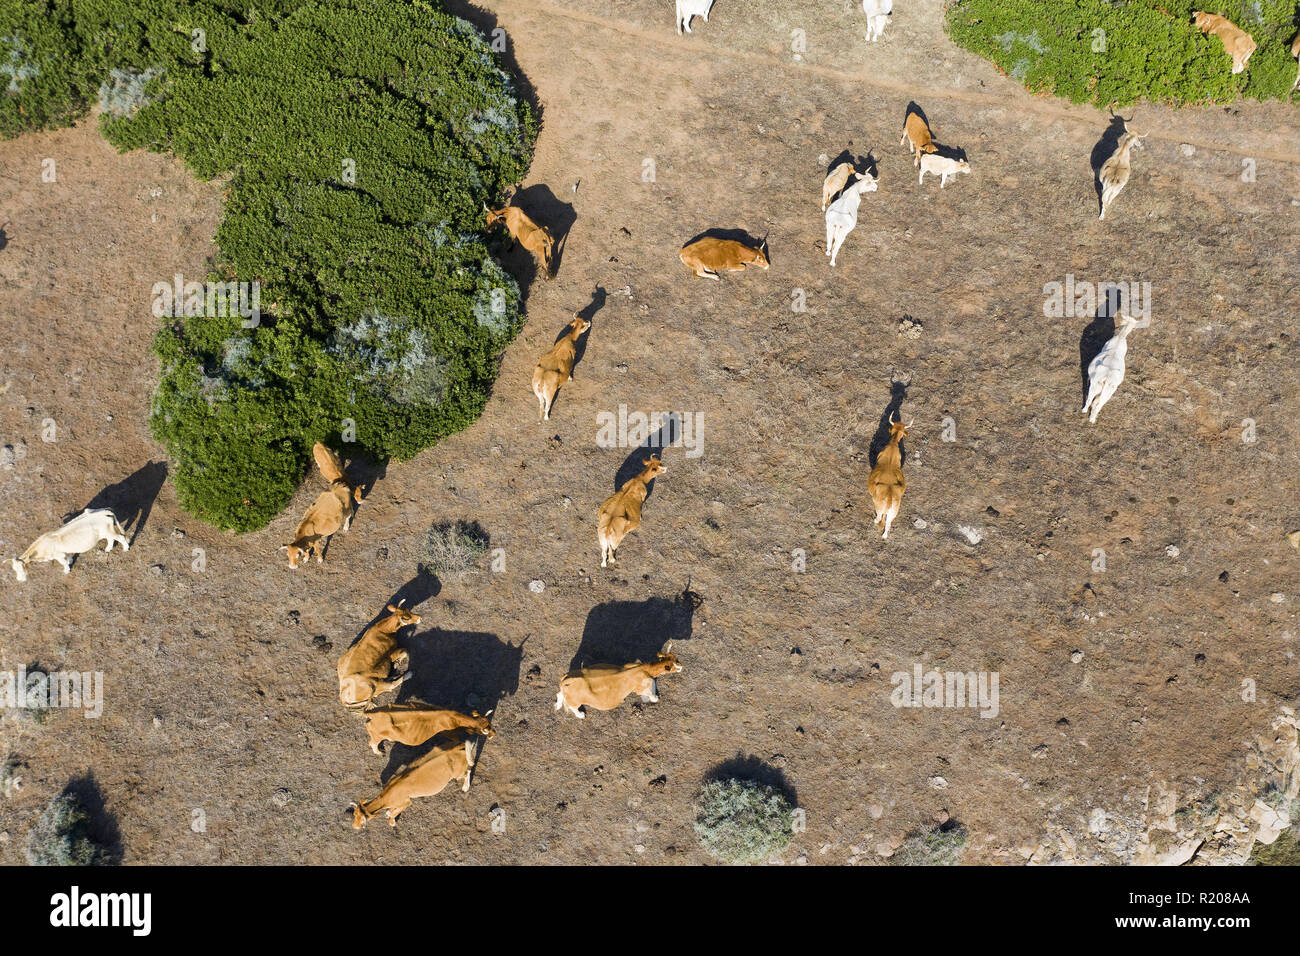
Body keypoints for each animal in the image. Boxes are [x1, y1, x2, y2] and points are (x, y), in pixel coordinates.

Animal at [350, 734, 480, 828]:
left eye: (362, 820)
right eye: (354, 815)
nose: (354, 826)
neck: (387, 795)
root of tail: (458, 747)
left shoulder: (407, 802)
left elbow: (393, 813)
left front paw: (392, 821)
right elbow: (391, 811)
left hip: (457, 773)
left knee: (468, 770)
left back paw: (465, 787)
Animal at [363, 705, 495, 756]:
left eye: (490, 724)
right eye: (485, 731)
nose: (494, 734)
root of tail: (373, 714)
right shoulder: (450, 733)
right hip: (376, 736)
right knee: (372, 743)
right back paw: (378, 752)